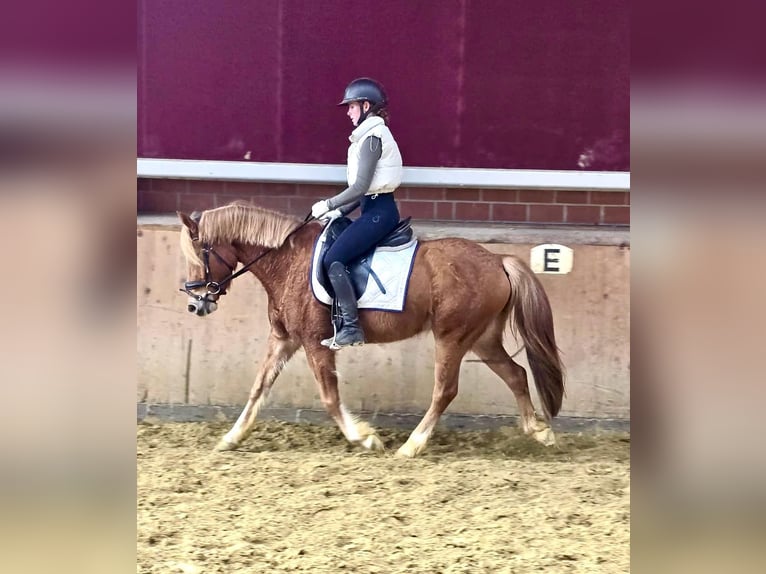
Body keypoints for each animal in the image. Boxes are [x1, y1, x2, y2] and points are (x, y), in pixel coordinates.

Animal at [178, 202, 564, 460]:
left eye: (199, 254)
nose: (196, 305)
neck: (287, 262)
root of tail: (498, 260)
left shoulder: (315, 343)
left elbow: (329, 397)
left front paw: (365, 438)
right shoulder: (284, 339)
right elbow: (259, 387)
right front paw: (231, 438)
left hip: (452, 337)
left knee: (446, 390)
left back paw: (412, 445)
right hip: (482, 338)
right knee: (515, 374)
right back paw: (539, 432)